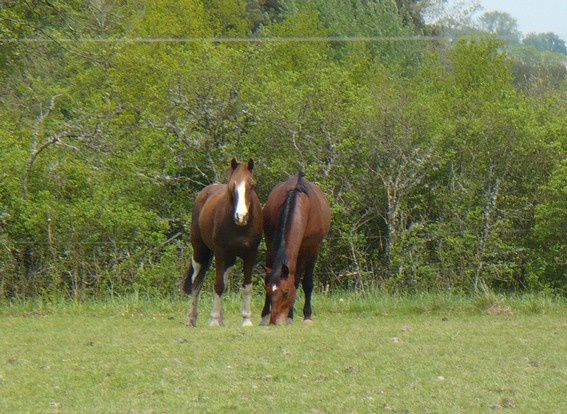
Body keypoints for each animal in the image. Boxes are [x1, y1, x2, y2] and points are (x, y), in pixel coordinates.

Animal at [182, 158, 264, 326]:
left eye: (252, 184)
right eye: (232, 185)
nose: (241, 216)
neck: (240, 228)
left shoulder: (250, 255)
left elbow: (246, 286)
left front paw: (246, 320)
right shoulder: (220, 253)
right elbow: (218, 285)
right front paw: (213, 320)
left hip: (230, 258)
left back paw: (221, 319)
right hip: (200, 251)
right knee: (196, 282)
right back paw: (191, 319)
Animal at [262, 173, 332, 326]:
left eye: (286, 292)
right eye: (268, 291)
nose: (275, 321)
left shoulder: (311, 249)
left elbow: (305, 283)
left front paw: (305, 315)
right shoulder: (270, 244)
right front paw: (264, 315)